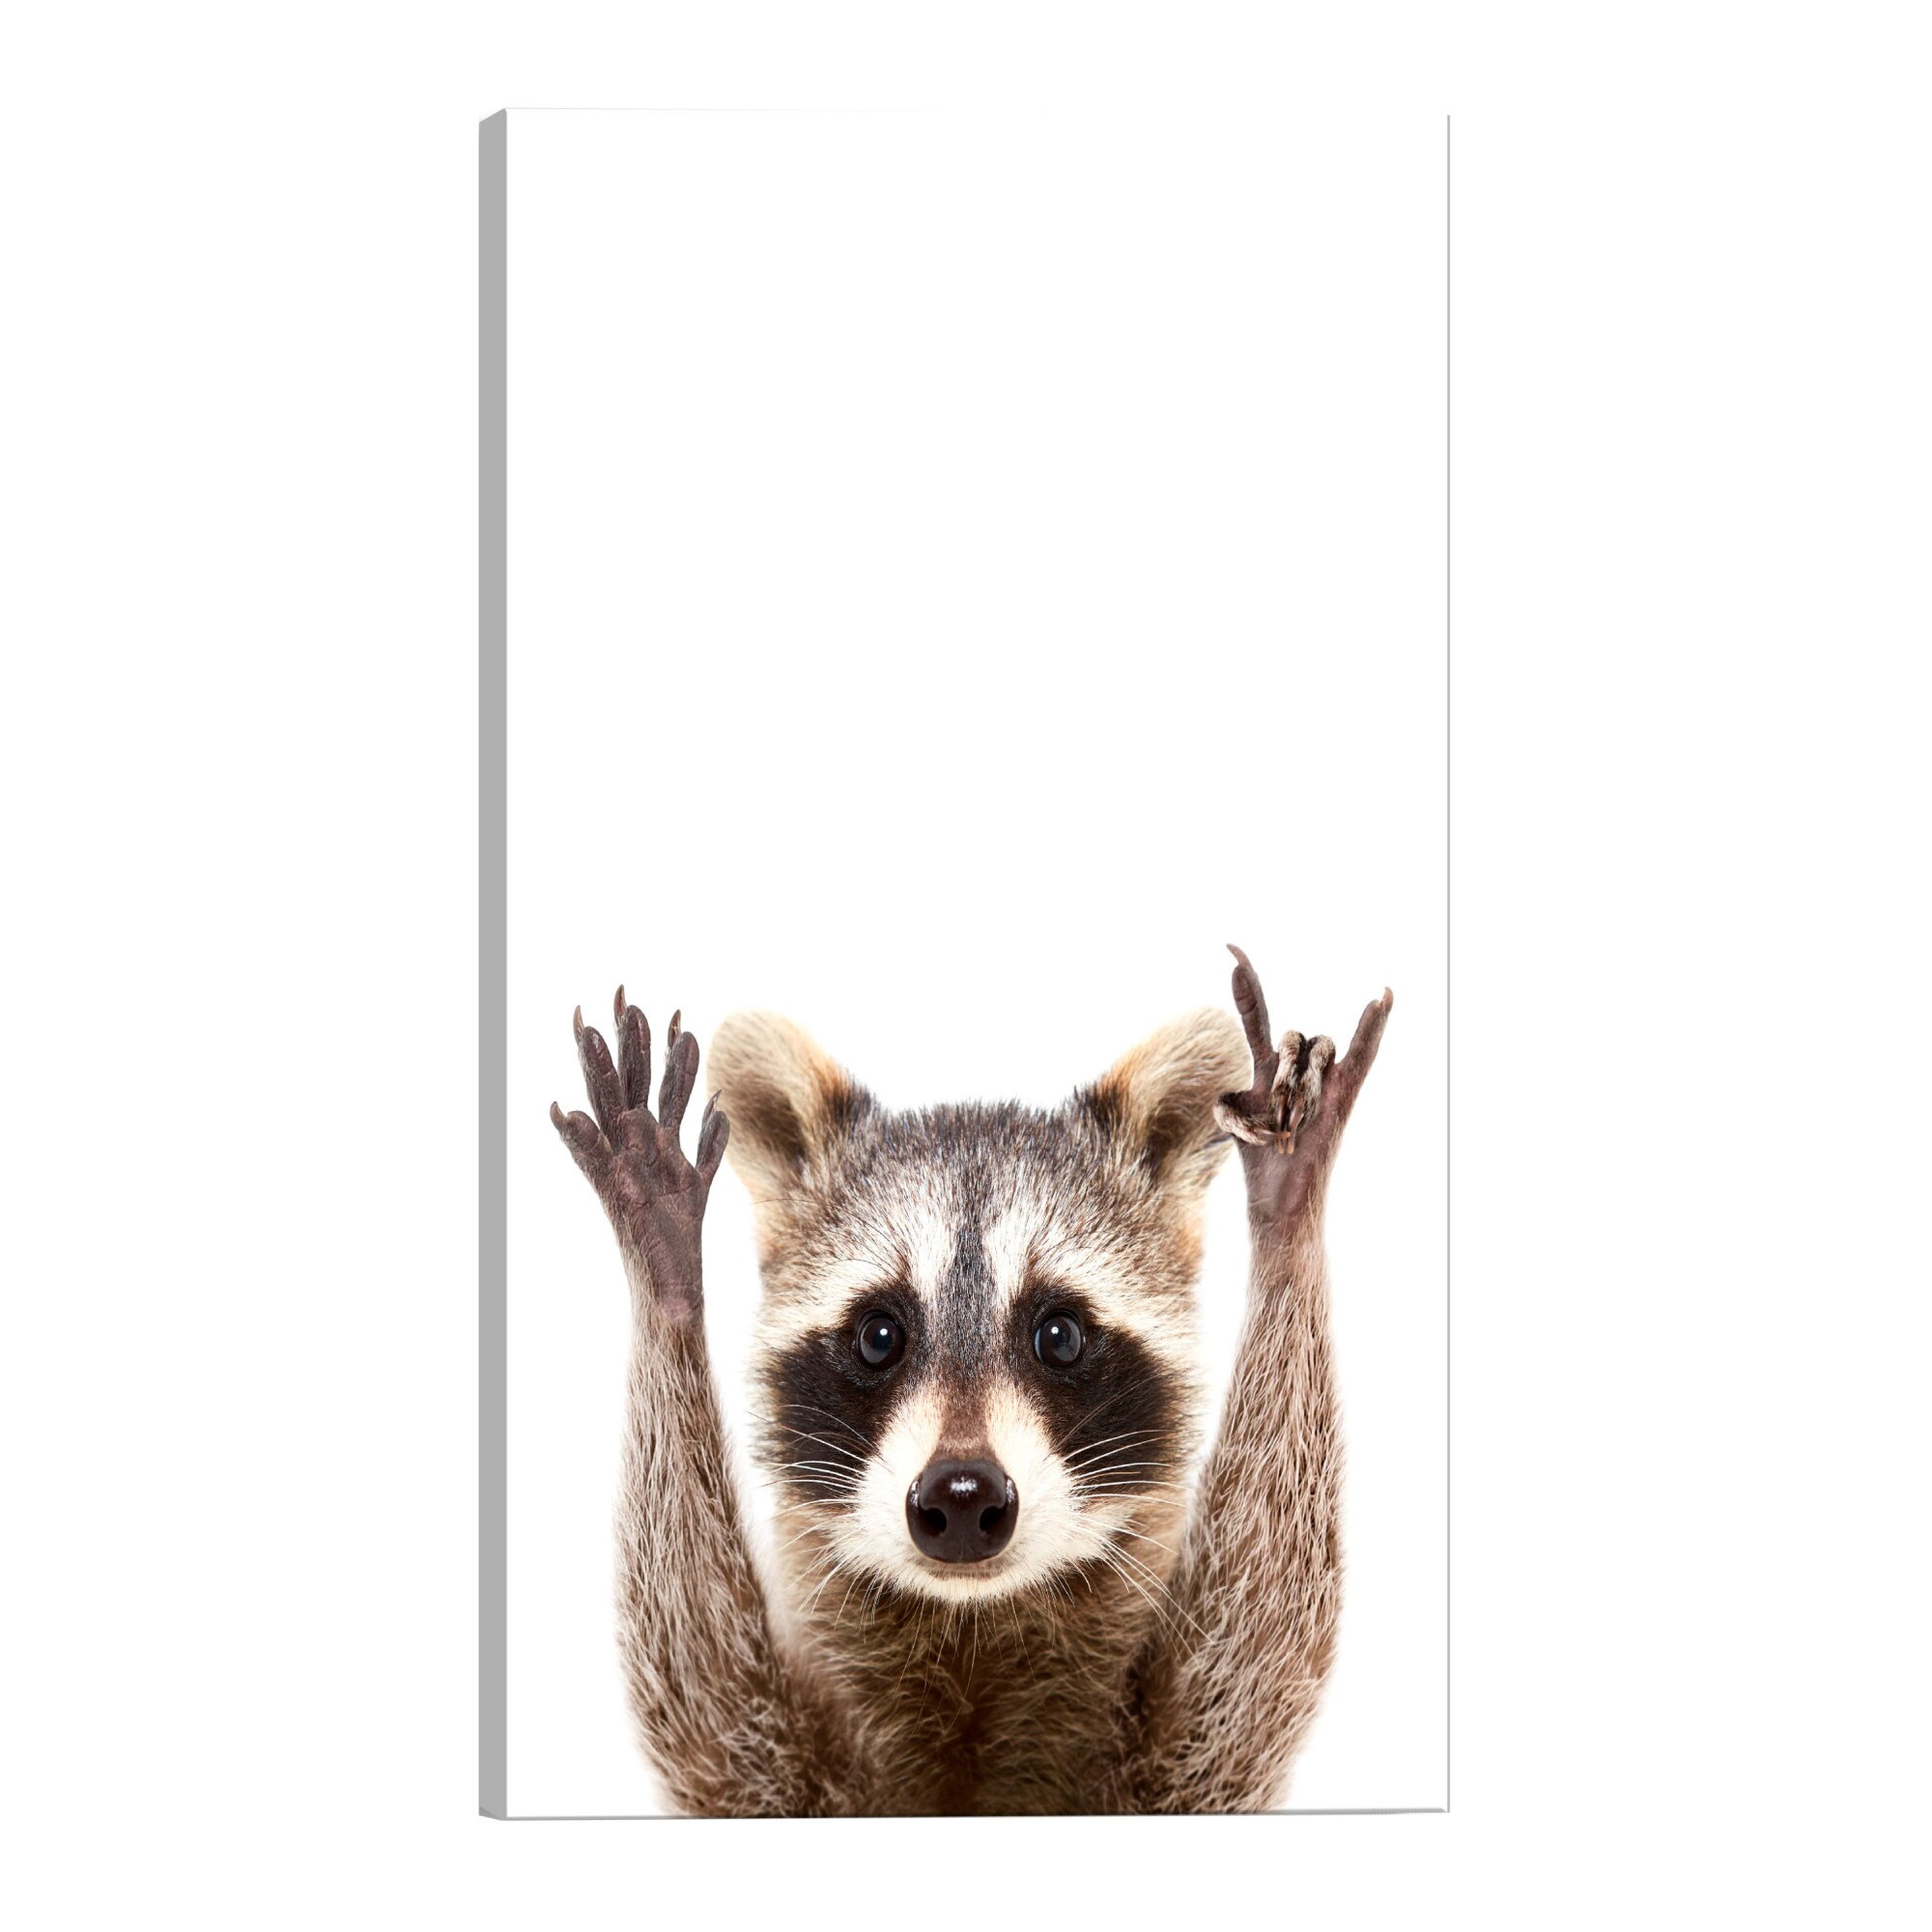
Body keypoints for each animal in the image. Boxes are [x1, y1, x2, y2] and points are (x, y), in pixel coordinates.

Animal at [550, 945, 1391, 1815]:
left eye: (1059, 1336)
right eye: (879, 1336)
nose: (961, 1496)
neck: (970, 1630)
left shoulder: (1172, 1774)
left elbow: (1252, 1655)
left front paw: (1289, 1207)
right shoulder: (783, 1778)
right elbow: (704, 1700)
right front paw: (665, 1267)